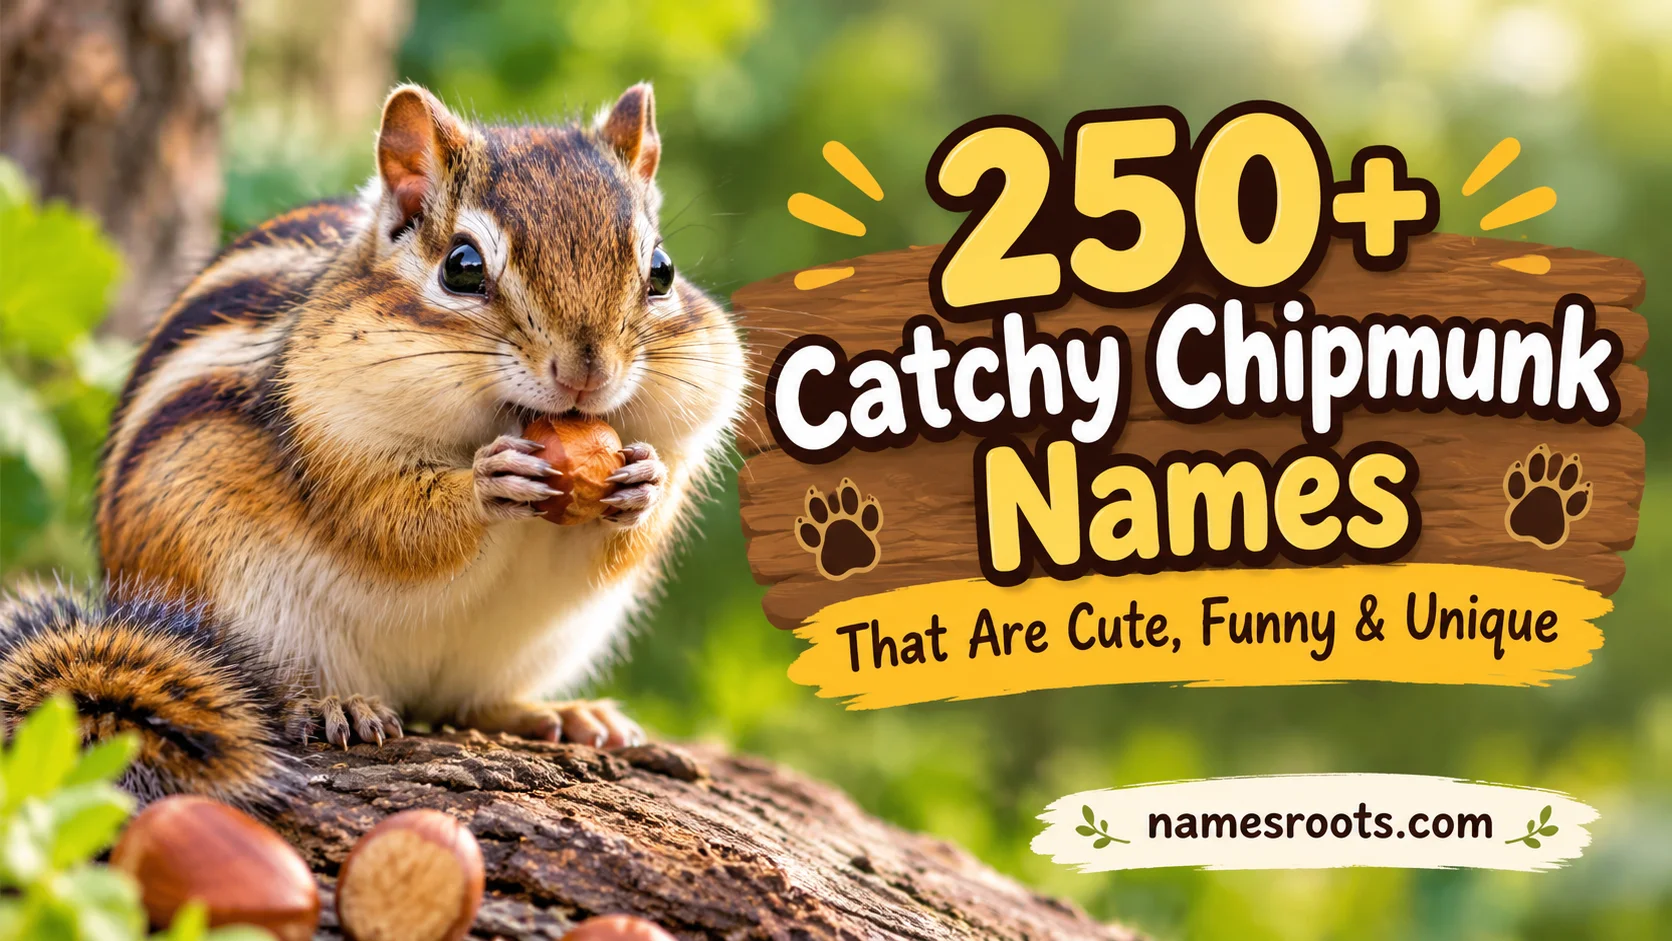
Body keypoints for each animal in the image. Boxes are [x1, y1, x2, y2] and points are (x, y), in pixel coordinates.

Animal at [0, 82, 747, 812]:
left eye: (661, 270)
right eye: (463, 268)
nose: (586, 373)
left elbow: (626, 537)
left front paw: (644, 482)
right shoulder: (328, 433)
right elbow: (389, 521)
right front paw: (490, 482)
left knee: (471, 704)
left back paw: (561, 714)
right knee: (259, 689)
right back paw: (338, 704)